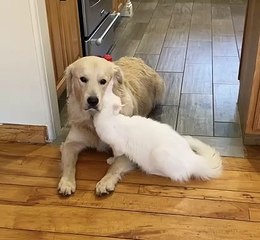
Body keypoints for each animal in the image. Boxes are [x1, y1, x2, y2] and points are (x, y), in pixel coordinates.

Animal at [58, 55, 165, 195]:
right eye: (83, 79)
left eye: (103, 81)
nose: (93, 101)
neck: (94, 118)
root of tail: (135, 58)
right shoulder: (70, 144)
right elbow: (69, 164)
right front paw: (67, 182)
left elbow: (114, 167)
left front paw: (105, 182)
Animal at [93, 79, 221, 181]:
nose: (95, 101)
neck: (108, 118)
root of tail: (194, 158)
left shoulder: (118, 146)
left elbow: (116, 154)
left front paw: (111, 160)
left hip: (159, 154)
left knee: (177, 176)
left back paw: (150, 171)